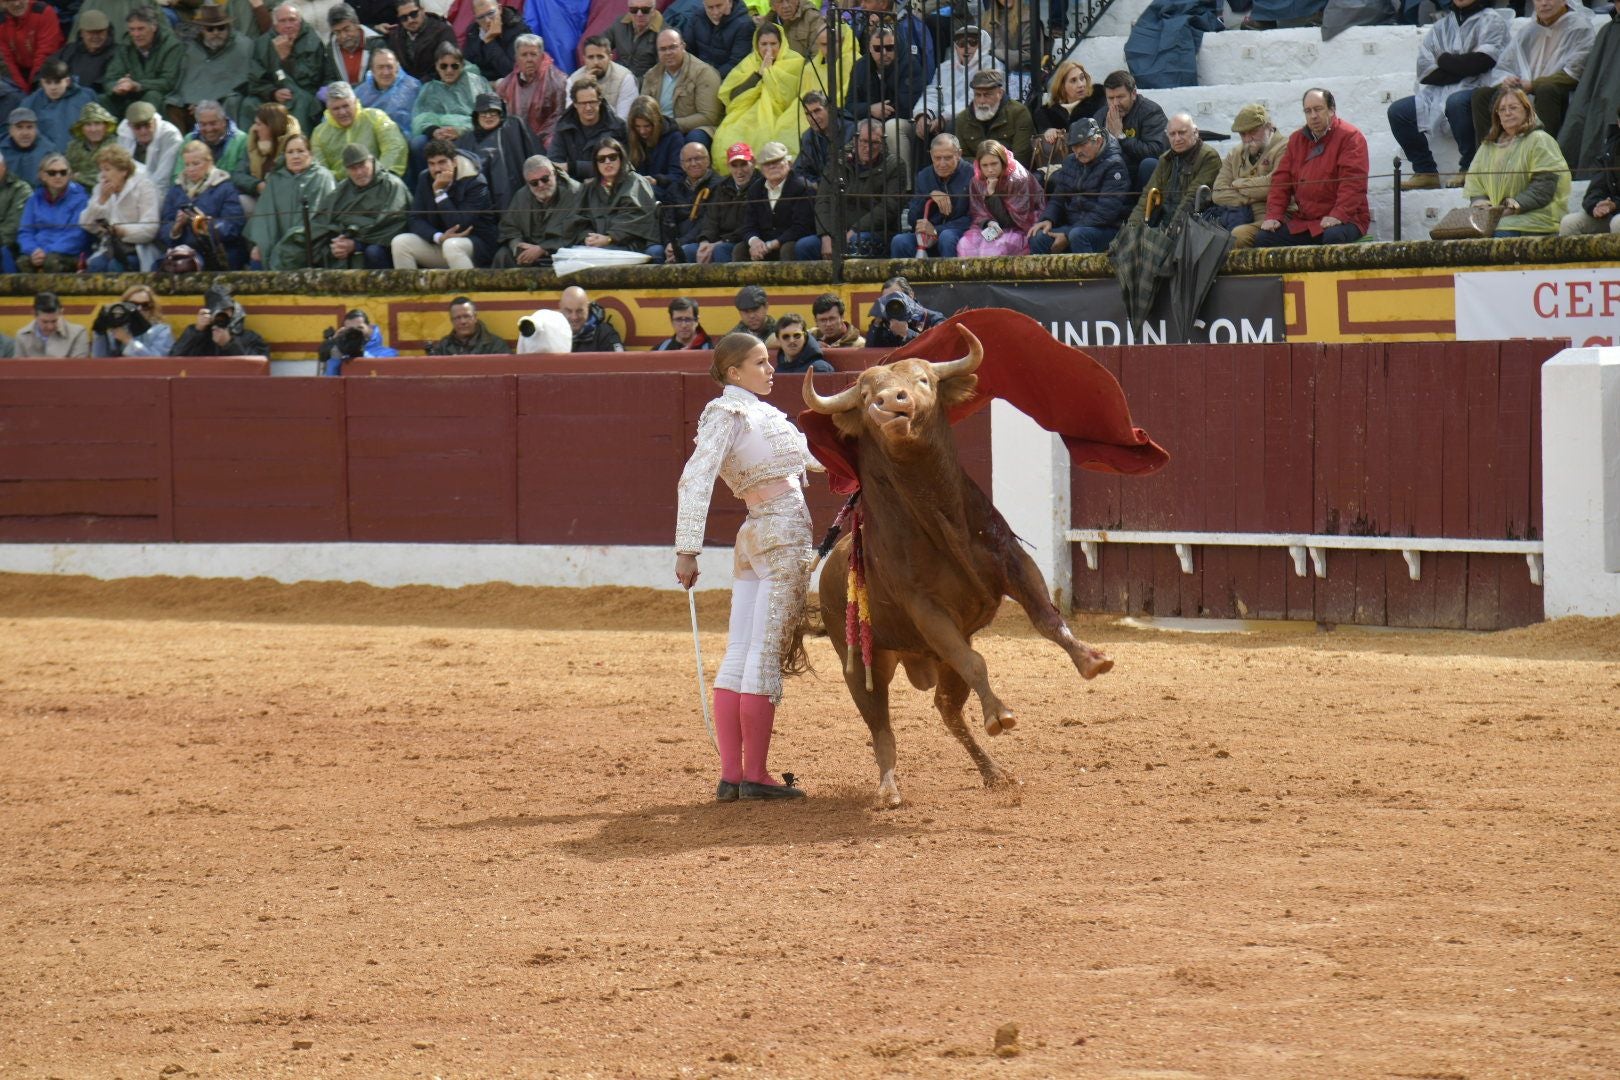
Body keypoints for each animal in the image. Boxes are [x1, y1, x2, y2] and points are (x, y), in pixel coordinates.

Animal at [800, 325, 1108, 806]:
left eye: (924, 380)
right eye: (865, 394)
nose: (890, 402)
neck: (938, 517)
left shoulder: (1012, 563)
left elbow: (1047, 619)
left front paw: (1090, 659)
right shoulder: (926, 608)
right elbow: (977, 661)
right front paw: (1000, 713)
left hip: (938, 661)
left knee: (946, 709)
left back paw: (994, 771)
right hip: (862, 661)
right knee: (881, 724)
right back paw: (890, 789)